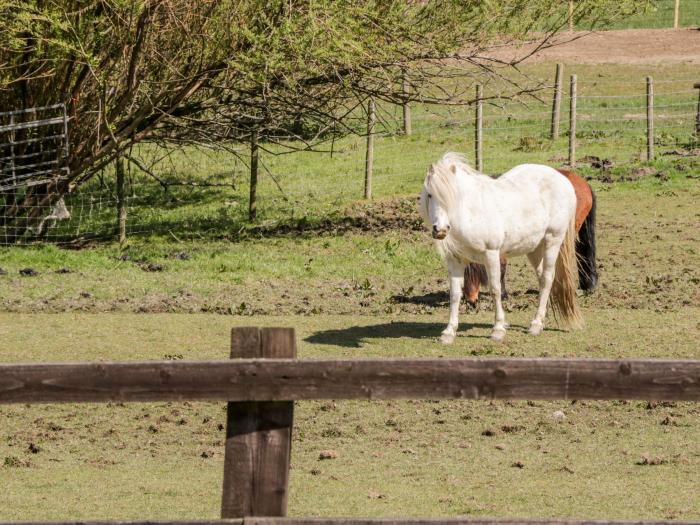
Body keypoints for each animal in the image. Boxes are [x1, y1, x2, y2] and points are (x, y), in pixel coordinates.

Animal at [422, 152, 580, 340]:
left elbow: (495, 289)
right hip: (534, 248)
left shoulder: (491, 255)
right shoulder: (455, 260)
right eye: (430, 195)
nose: (440, 229)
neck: (471, 213)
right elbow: (455, 294)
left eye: (453, 195)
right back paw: (540, 321)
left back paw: (535, 325)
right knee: (542, 279)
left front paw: (498, 329)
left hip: (552, 240)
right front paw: (449, 332)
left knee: (548, 278)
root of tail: (564, 180)